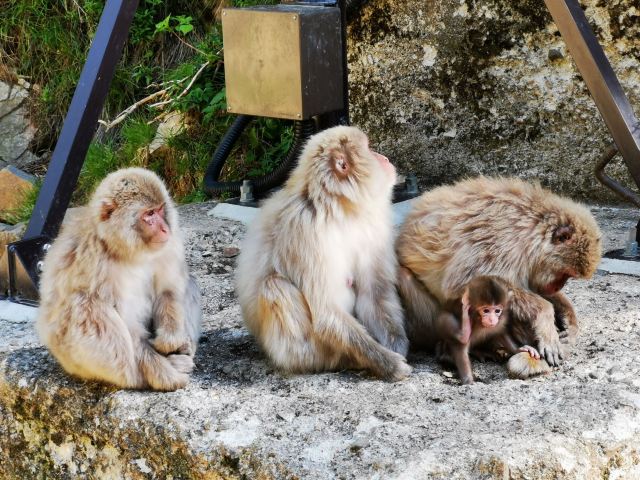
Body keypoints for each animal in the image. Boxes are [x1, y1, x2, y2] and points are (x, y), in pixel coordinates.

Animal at [36, 168, 201, 391]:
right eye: (149, 214)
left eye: (160, 210)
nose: (165, 228)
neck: (130, 251)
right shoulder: (95, 261)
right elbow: (126, 321)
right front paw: (164, 374)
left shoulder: (169, 245)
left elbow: (169, 289)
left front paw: (171, 340)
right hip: (73, 358)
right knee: (88, 306)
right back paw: (139, 376)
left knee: (189, 282)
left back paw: (183, 350)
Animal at [235, 126, 411, 381]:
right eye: (369, 148)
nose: (385, 158)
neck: (338, 209)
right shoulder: (305, 231)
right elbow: (326, 312)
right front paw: (389, 364)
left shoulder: (372, 230)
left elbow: (374, 293)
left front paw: (396, 346)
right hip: (297, 351)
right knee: (275, 286)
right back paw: (346, 360)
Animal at [396, 177, 601, 378]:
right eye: (564, 274)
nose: (558, 287)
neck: (531, 230)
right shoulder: (501, 241)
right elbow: (463, 282)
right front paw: (545, 315)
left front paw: (569, 320)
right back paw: (451, 352)